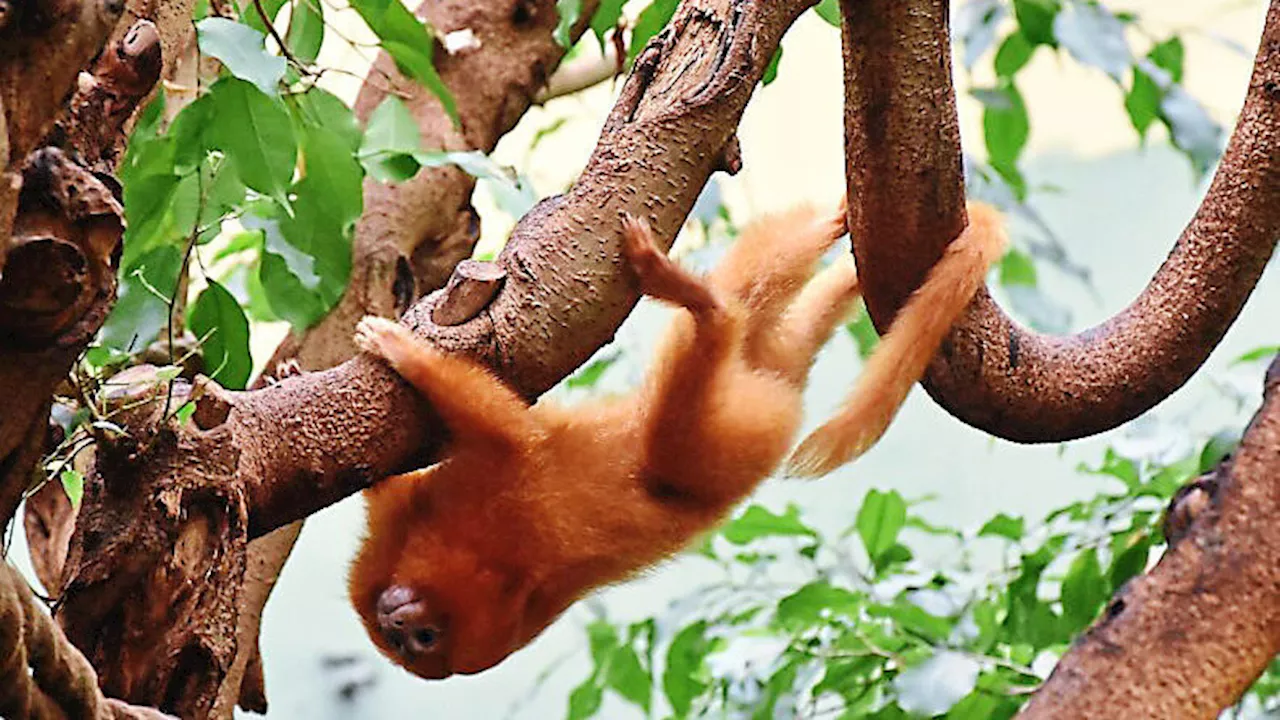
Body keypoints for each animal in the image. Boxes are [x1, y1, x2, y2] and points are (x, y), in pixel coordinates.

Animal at [345, 198, 1003, 676]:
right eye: (404, 639)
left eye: (425, 636)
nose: (397, 625)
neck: (494, 569)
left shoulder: (500, 500)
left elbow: (511, 433)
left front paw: (405, 352)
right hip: (756, 388)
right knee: (759, 305)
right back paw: (826, 232)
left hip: (722, 438)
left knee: (686, 404)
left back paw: (701, 301)